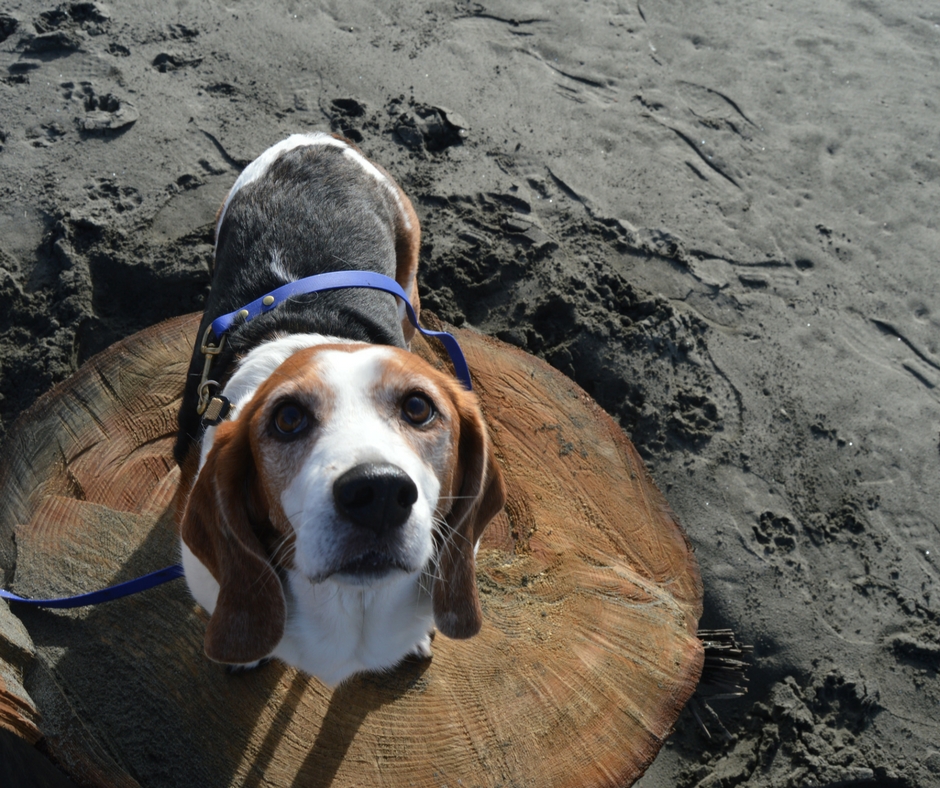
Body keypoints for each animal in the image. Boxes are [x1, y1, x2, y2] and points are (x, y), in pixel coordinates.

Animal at [172, 132, 504, 688]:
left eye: (419, 407)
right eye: (287, 419)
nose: (379, 493)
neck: (352, 603)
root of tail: (315, 138)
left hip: (409, 281)